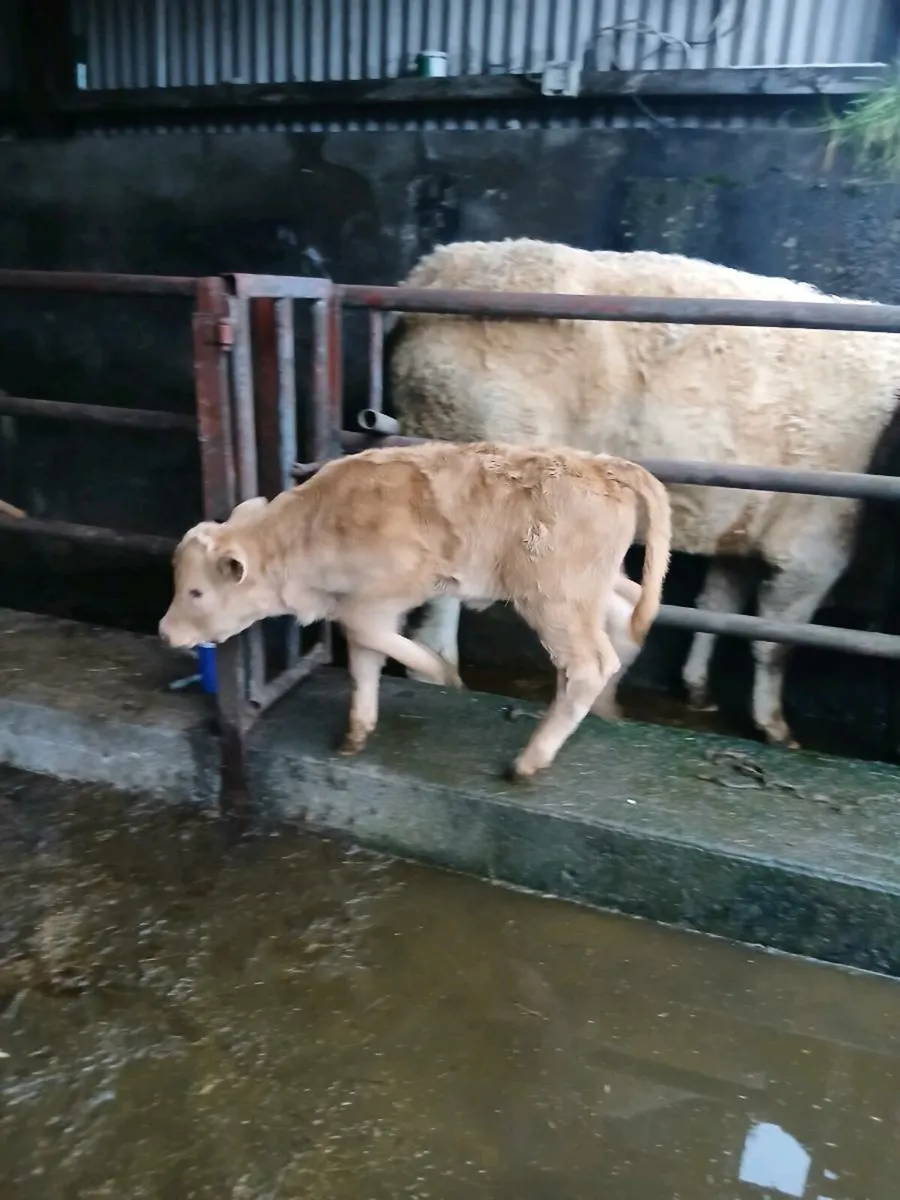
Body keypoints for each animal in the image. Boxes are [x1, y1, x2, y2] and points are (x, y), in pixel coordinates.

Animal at [159, 440, 671, 780]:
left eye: (197, 592)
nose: (165, 632)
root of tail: (602, 465)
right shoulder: (360, 601)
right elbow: (364, 661)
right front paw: (356, 732)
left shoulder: (389, 592)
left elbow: (368, 637)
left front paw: (443, 676)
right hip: (593, 588)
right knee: (625, 618)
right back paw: (607, 707)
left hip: (556, 597)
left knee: (589, 664)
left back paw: (529, 761)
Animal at [388, 237, 900, 748]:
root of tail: (436, 265)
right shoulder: (816, 544)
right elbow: (776, 639)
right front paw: (778, 730)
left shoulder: (743, 529)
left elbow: (719, 606)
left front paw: (698, 691)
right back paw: (444, 674)